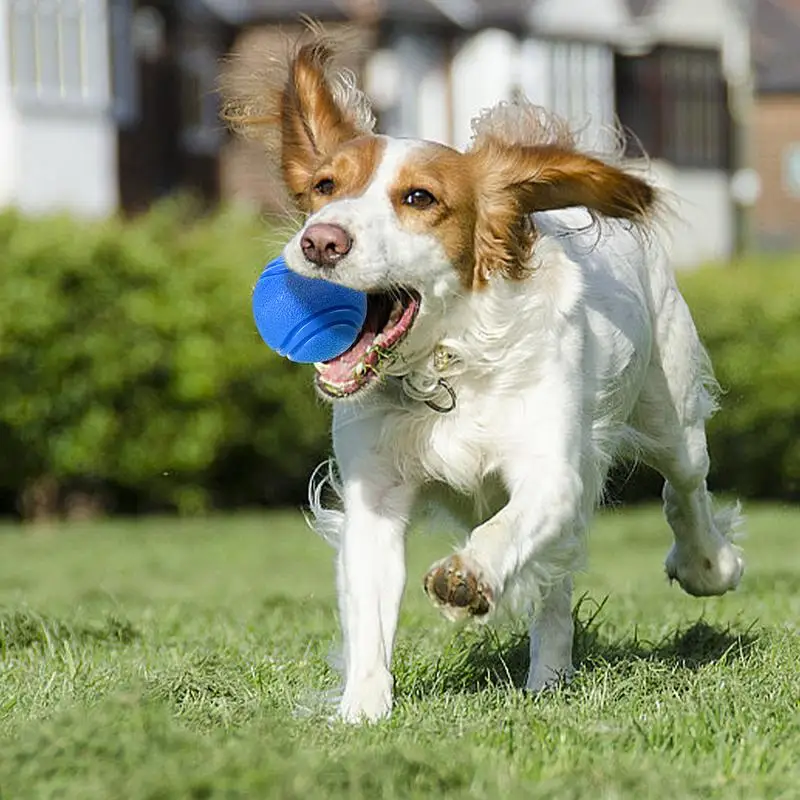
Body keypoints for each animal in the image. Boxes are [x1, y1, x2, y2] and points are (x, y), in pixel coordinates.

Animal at [223, 31, 744, 720]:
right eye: (324, 185)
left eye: (420, 198)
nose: (320, 241)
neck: (448, 365)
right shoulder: (375, 496)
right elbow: (371, 614)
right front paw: (361, 711)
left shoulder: (553, 473)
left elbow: (506, 530)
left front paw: (466, 577)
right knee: (557, 584)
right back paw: (550, 676)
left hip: (671, 411)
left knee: (685, 488)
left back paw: (707, 566)